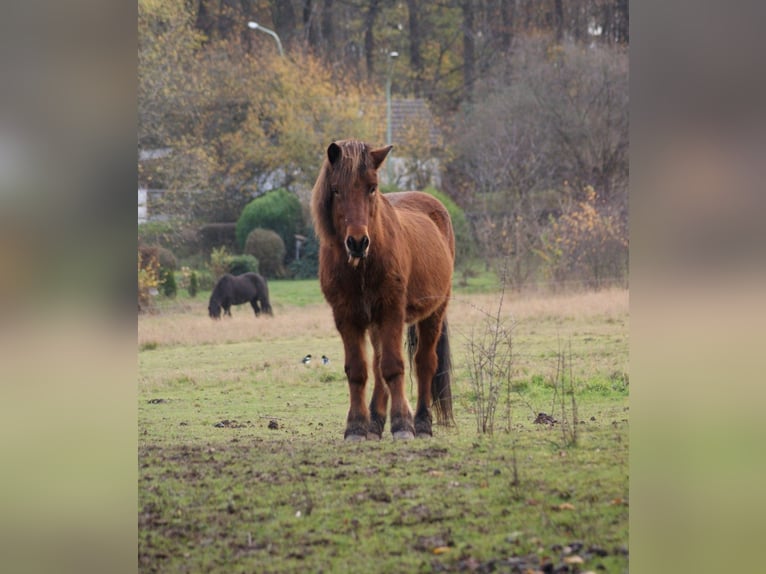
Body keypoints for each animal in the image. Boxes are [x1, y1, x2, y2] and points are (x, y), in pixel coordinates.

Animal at [312, 140, 456, 440]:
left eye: (372, 187)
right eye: (336, 189)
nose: (357, 242)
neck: (362, 266)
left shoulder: (391, 311)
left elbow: (393, 367)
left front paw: (402, 424)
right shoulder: (346, 316)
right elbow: (358, 370)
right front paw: (356, 426)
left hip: (434, 313)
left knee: (424, 363)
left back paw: (422, 422)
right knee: (378, 366)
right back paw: (375, 422)